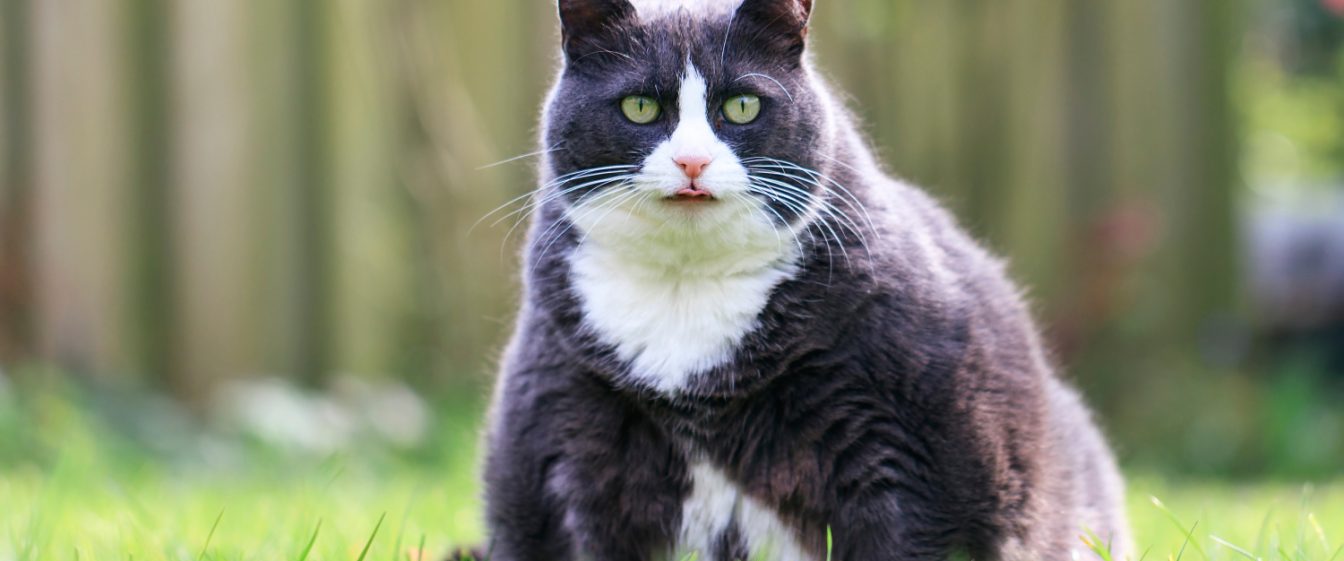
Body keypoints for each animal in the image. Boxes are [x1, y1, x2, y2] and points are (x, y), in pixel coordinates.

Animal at [483, 0, 1134, 556]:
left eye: (742, 106)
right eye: (639, 107)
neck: (686, 288)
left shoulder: (891, 453)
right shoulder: (572, 443)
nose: (692, 161)